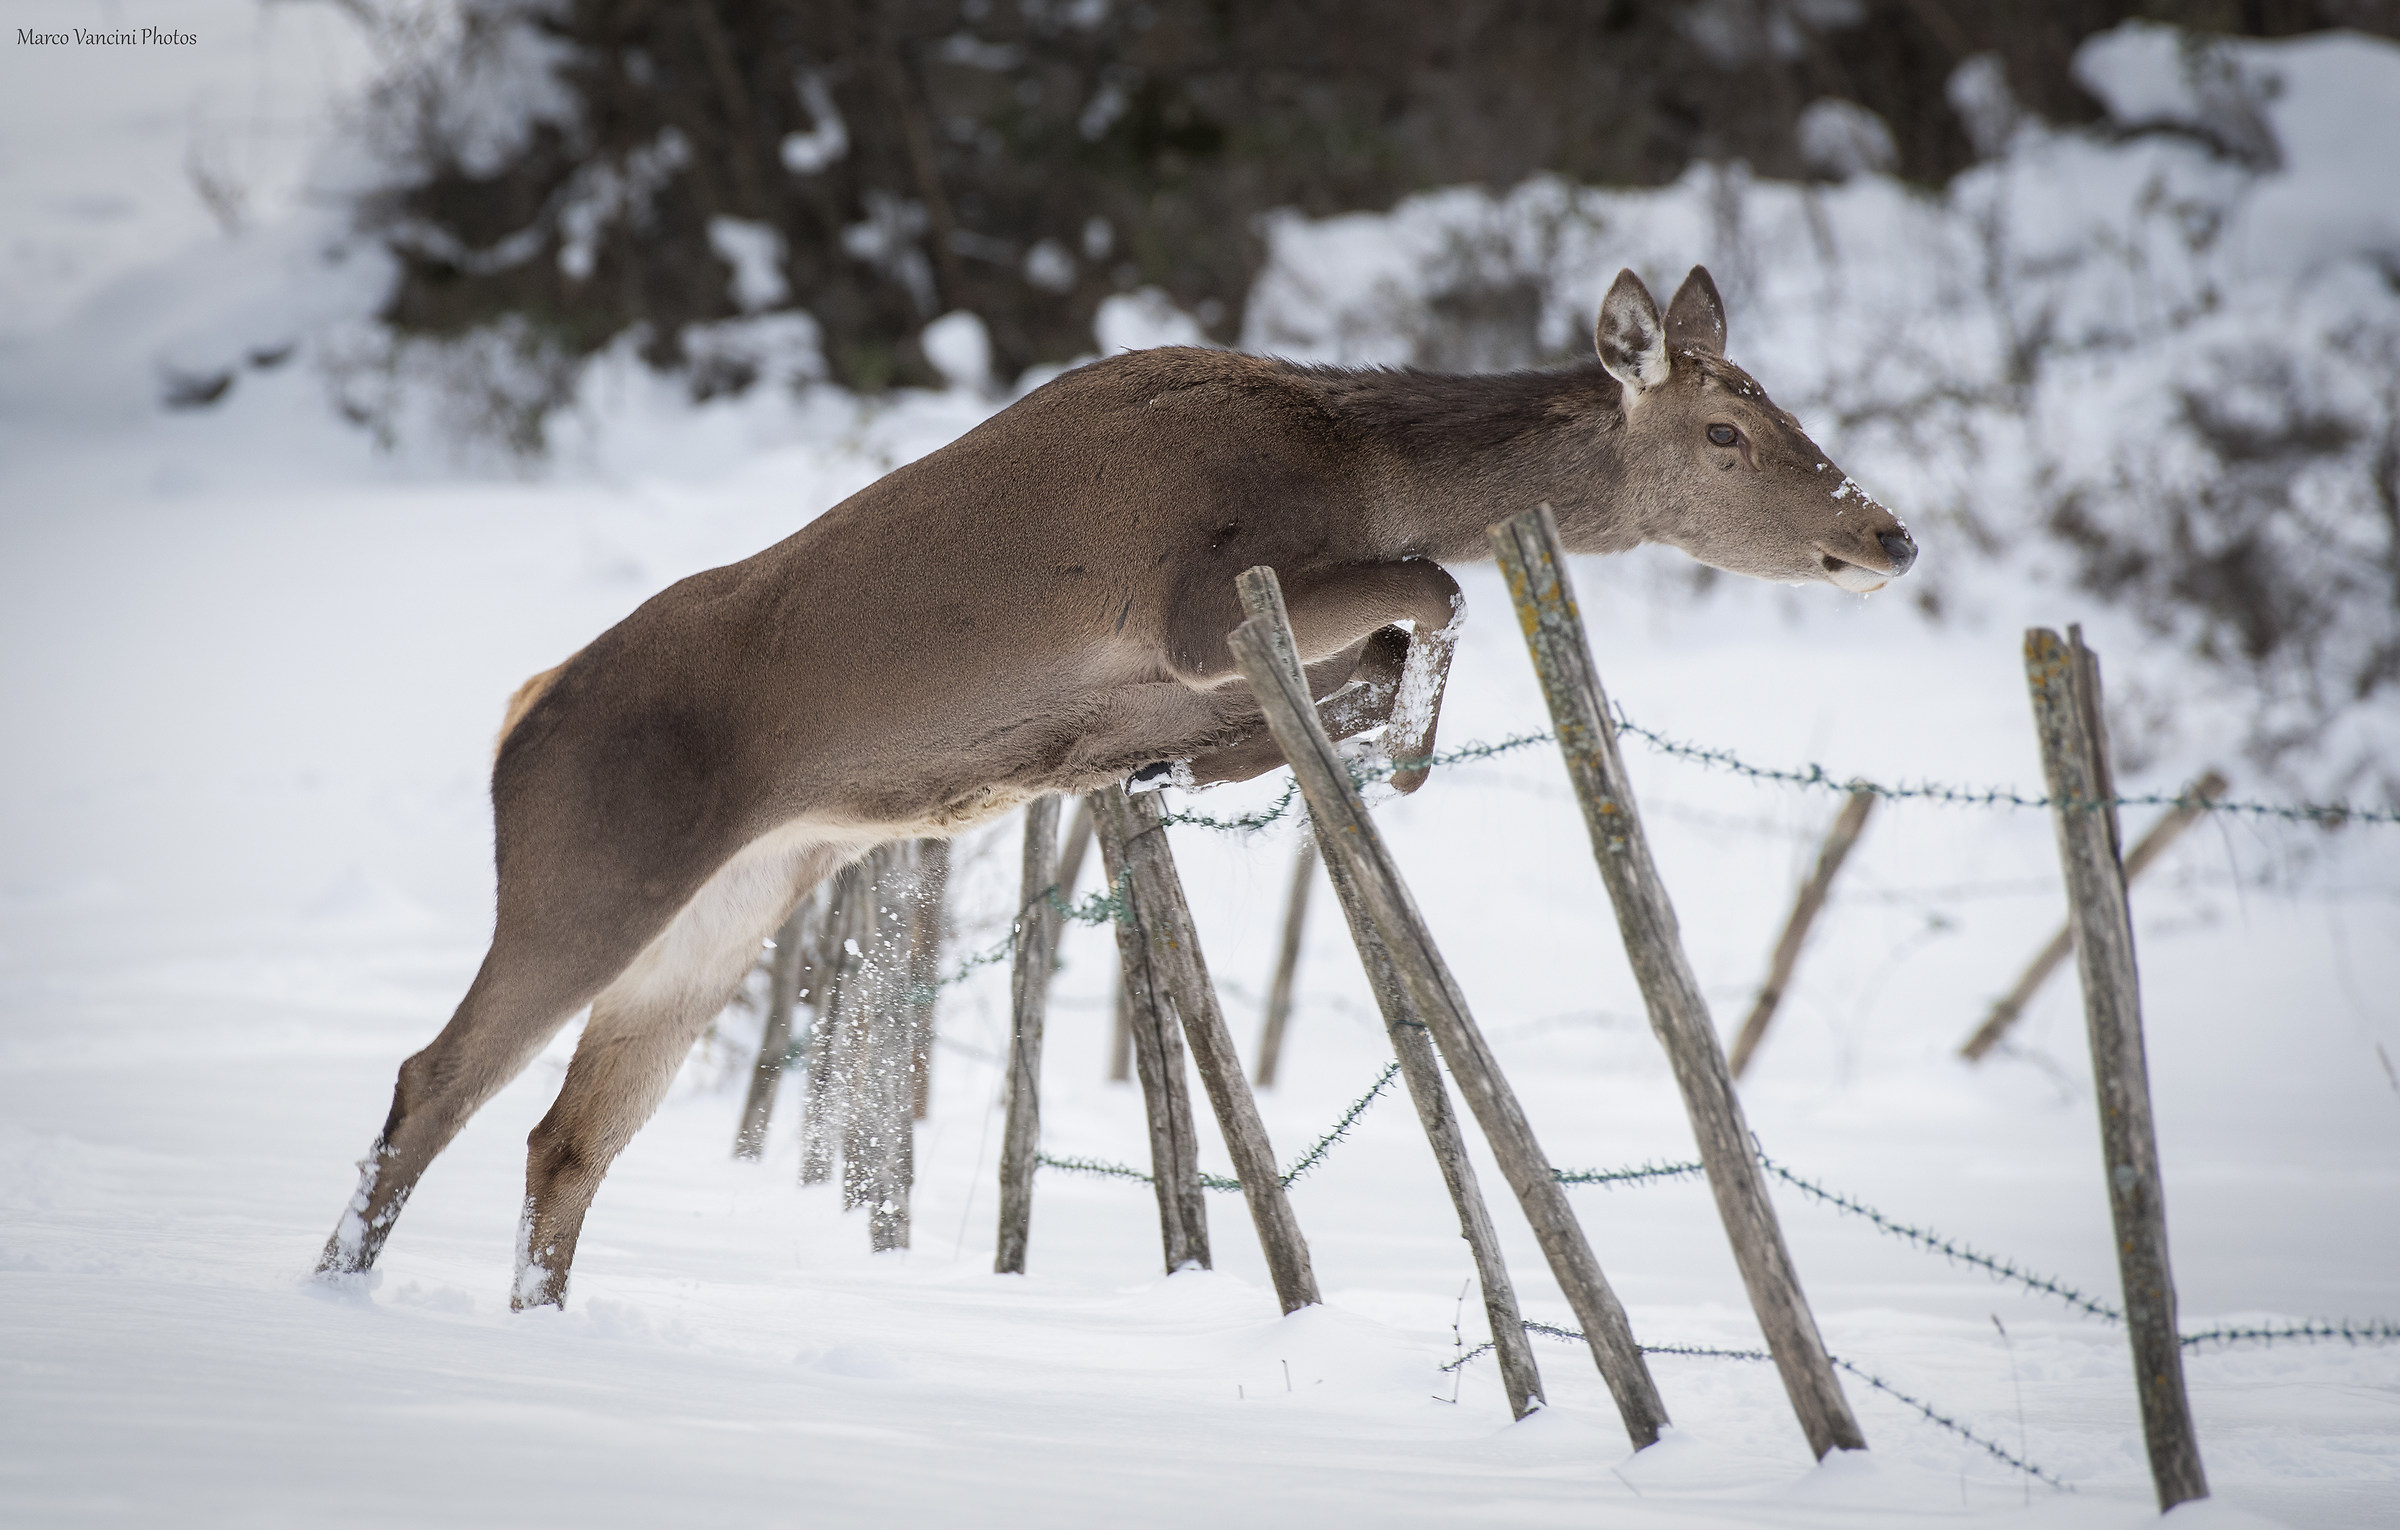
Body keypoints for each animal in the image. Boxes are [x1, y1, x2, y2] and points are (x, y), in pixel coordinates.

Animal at [328, 263, 1920, 1304]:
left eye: (1788, 413)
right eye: (1726, 430)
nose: (1888, 533)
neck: (1357, 464)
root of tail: (520, 722)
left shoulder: (1198, 669)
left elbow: (1370, 646)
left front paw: (1292, 749)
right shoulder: (1196, 600)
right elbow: (1441, 582)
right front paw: (1403, 739)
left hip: (726, 910)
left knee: (566, 1138)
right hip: (587, 872)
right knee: (432, 1079)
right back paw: (342, 1292)